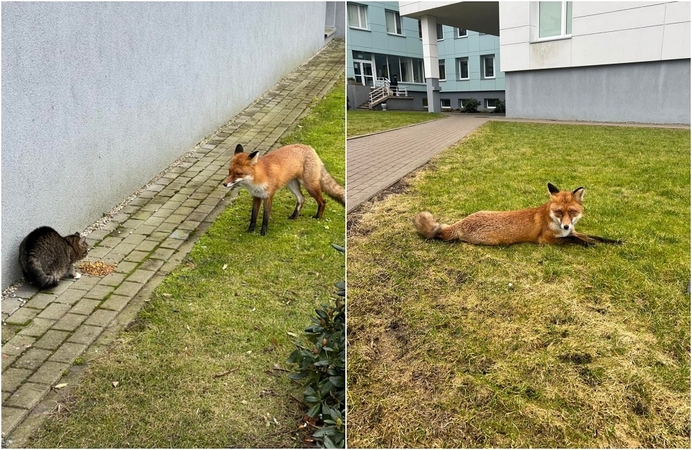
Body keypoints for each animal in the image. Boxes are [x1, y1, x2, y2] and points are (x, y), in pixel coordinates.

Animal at [414, 182, 624, 246]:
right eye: (558, 212)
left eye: (572, 212)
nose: (565, 225)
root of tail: (461, 223)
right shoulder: (545, 240)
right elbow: (575, 240)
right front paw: (591, 244)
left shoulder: (572, 231)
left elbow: (594, 236)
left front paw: (615, 241)